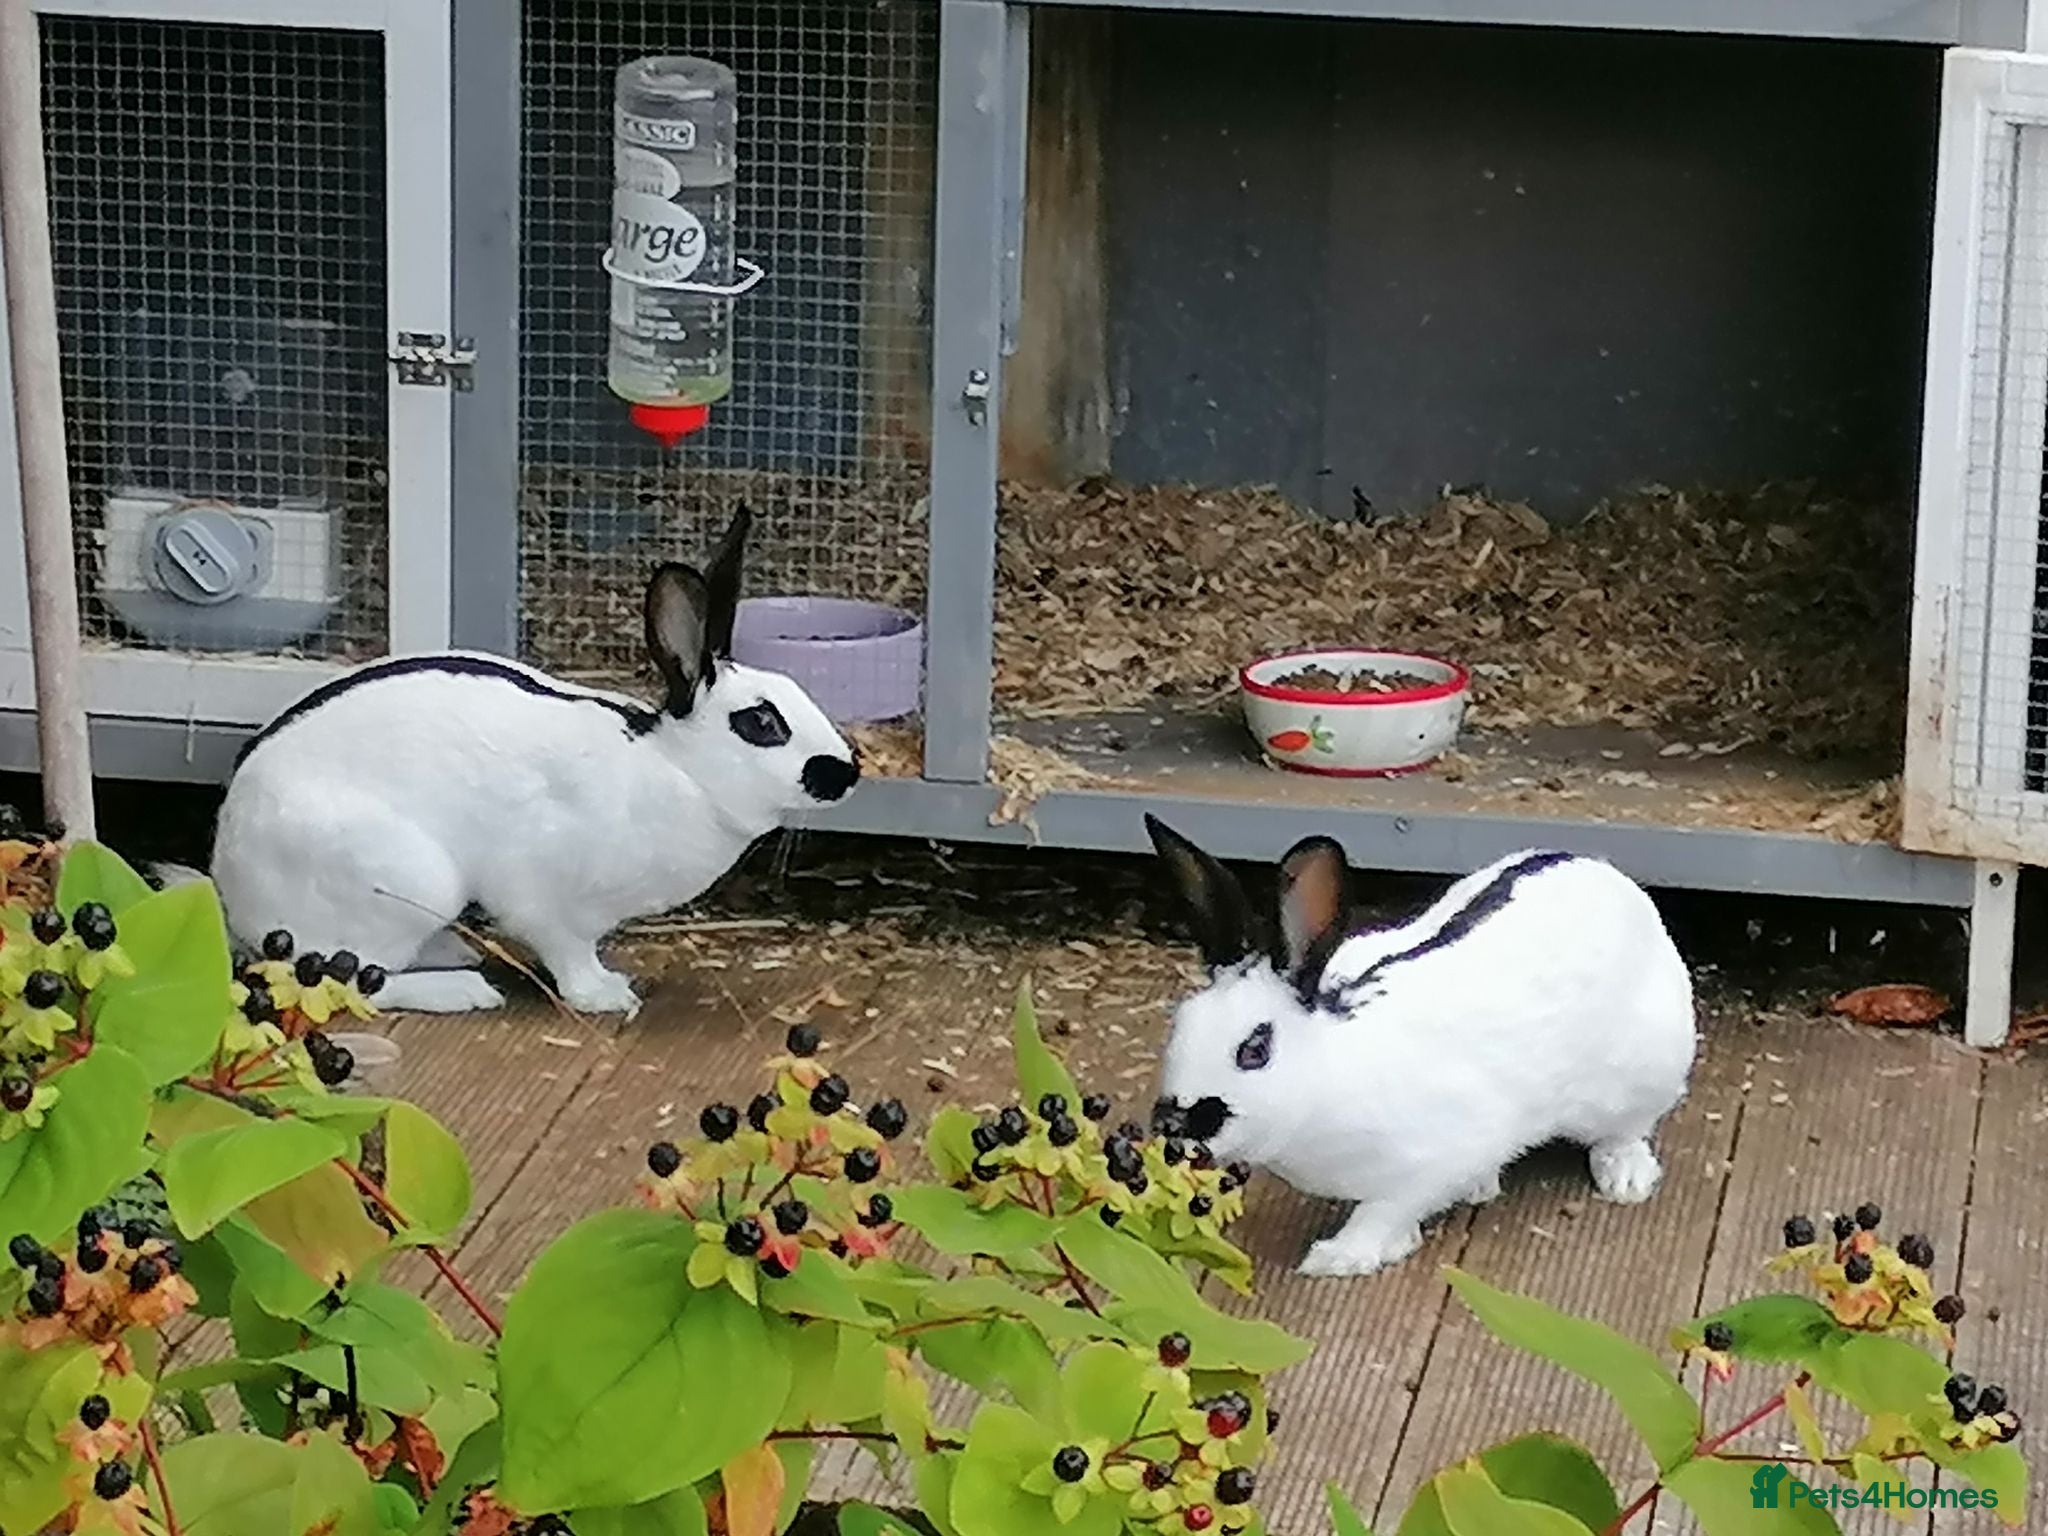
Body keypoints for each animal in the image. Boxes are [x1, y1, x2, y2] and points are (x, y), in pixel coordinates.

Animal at [206, 505, 860, 1018]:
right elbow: (567, 950)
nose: (847, 772)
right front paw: (605, 995)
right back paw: (464, 990)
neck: (680, 770)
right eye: (762, 724)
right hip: (402, 879)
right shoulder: (549, 899)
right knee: (349, 979)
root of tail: (234, 893)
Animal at [1142, 815, 1698, 1278]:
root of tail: (1607, 874)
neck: (1330, 1066)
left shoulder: (1434, 1159)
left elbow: (1383, 1212)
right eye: (1180, 1024)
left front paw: (1340, 1257)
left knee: (1626, 1131)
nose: (1171, 1128)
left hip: (1643, 1075)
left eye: (1254, 1051)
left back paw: (1625, 1179)